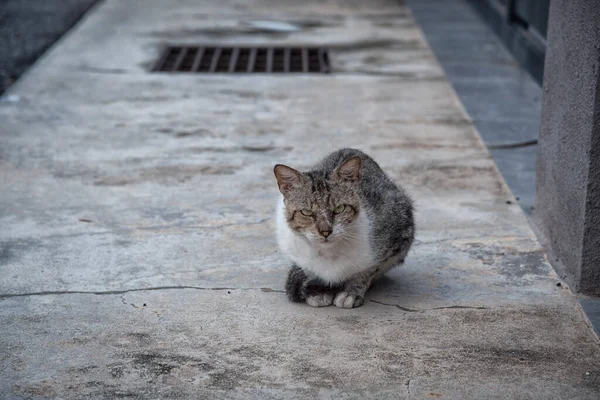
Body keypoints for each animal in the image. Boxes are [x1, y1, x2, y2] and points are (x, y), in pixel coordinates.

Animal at [274, 148, 414, 308]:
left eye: (340, 208)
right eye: (306, 212)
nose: (325, 231)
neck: (328, 253)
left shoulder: (399, 229)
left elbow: (368, 270)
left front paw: (351, 292)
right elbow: (309, 270)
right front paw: (319, 290)